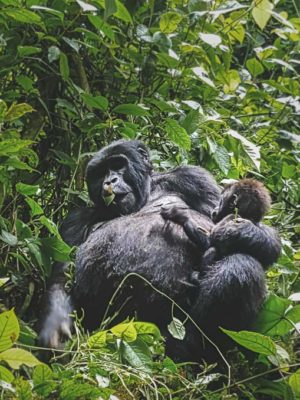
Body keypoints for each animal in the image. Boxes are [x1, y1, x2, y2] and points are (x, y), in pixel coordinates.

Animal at [39, 140, 282, 360]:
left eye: (118, 164)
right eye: (100, 173)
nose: (110, 180)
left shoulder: (193, 177)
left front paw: (237, 230)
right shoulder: (74, 221)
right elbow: (63, 276)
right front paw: (55, 329)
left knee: (241, 267)